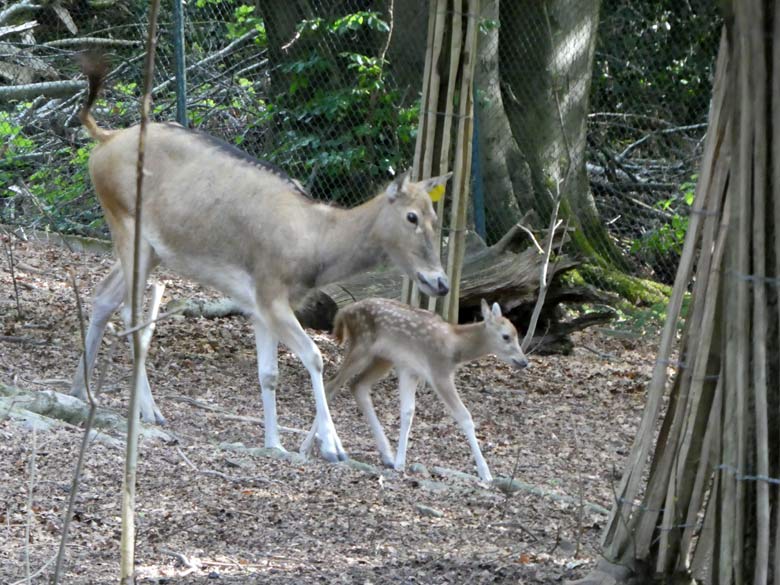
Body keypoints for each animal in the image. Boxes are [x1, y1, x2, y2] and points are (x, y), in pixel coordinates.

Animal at [73, 59, 454, 460]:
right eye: (411, 217)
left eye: (435, 215)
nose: (440, 282)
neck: (314, 242)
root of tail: (104, 140)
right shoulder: (271, 294)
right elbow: (315, 356)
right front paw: (332, 447)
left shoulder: (258, 306)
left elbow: (268, 374)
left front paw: (275, 443)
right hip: (128, 228)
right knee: (131, 313)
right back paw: (149, 410)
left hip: (150, 250)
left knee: (104, 295)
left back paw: (80, 389)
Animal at [300, 296, 532, 480]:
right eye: (506, 336)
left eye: (516, 334)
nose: (523, 362)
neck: (455, 346)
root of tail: (344, 311)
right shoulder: (439, 372)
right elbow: (464, 415)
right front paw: (486, 474)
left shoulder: (410, 369)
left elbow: (408, 411)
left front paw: (399, 462)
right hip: (361, 347)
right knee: (331, 384)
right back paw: (309, 447)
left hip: (382, 358)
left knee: (358, 385)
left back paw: (386, 454)